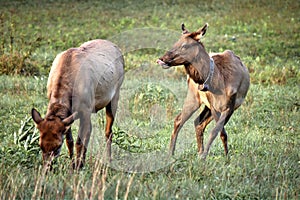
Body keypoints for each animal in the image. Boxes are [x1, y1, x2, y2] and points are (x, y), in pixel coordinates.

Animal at [32, 39, 125, 169]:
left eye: (58, 146)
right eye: (40, 144)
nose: (47, 168)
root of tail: (117, 48)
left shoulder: (85, 110)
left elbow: (79, 141)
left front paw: (77, 166)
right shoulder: (69, 116)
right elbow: (70, 141)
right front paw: (73, 164)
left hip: (115, 94)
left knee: (108, 131)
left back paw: (108, 160)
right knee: (90, 130)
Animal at [156, 22, 250, 159]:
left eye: (185, 45)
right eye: (176, 42)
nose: (161, 59)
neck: (219, 82)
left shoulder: (229, 107)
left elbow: (218, 132)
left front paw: (224, 156)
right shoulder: (214, 106)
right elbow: (220, 132)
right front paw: (216, 156)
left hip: (205, 105)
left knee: (196, 122)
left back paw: (197, 152)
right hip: (194, 98)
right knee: (181, 120)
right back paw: (172, 153)